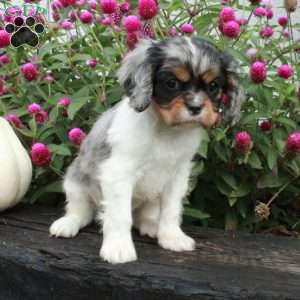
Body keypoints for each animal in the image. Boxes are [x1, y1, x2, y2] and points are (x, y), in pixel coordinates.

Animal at [50, 36, 244, 264]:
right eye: (171, 83)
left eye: (213, 86)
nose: (196, 107)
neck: (166, 129)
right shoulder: (119, 173)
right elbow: (120, 215)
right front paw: (118, 247)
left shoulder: (177, 176)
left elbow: (171, 210)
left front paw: (172, 237)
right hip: (75, 182)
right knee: (81, 211)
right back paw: (68, 223)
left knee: (145, 215)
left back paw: (152, 226)